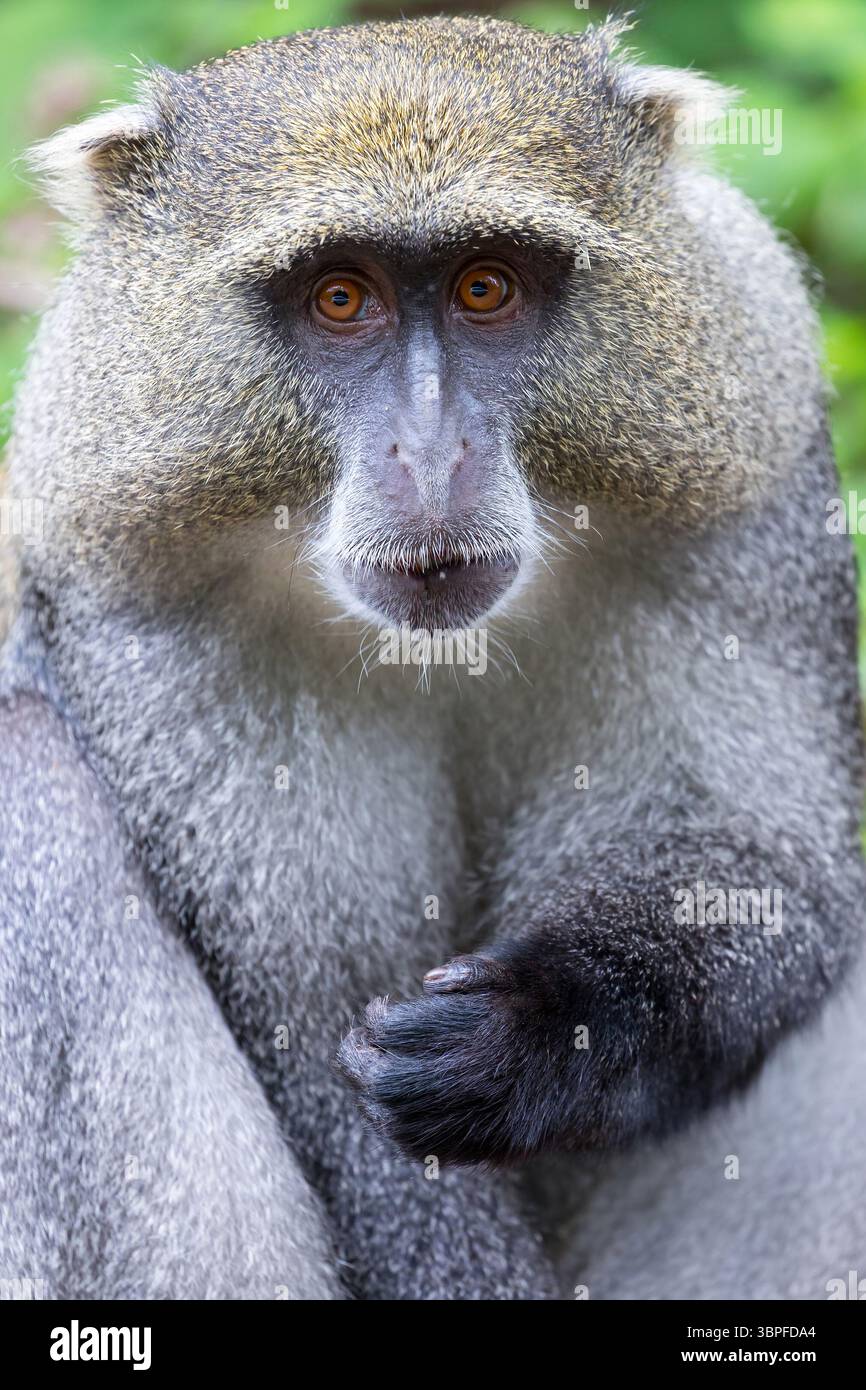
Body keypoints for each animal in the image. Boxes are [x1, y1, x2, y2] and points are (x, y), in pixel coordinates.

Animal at [1, 14, 865, 1301]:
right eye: (339, 297)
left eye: (483, 286)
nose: (430, 453)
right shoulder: (132, 587)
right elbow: (313, 1037)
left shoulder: (739, 460)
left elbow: (762, 864)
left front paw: (543, 1027)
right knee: (29, 780)